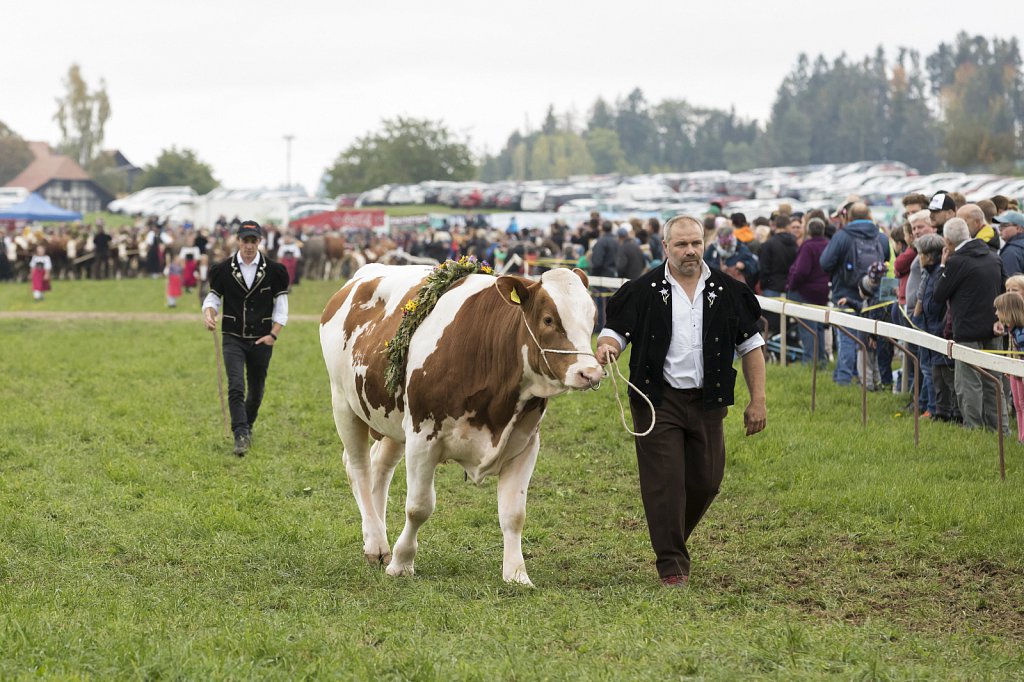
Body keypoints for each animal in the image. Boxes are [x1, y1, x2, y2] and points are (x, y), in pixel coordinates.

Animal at [319, 262, 602, 581]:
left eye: (592, 317)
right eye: (548, 319)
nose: (590, 372)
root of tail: (366, 271)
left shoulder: (525, 444)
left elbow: (514, 513)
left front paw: (517, 574)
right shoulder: (422, 435)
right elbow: (418, 507)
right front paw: (402, 563)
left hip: (391, 418)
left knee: (379, 466)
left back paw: (379, 535)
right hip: (343, 402)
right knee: (358, 468)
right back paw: (377, 544)